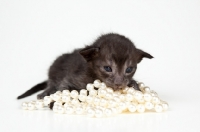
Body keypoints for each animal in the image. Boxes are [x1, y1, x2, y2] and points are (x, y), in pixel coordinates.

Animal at [17, 33, 153, 99]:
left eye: (129, 69)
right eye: (107, 68)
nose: (119, 83)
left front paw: (134, 84)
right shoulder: (72, 78)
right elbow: (64, 87)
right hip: (53, 71)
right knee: (51, 83)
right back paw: (45, 93)